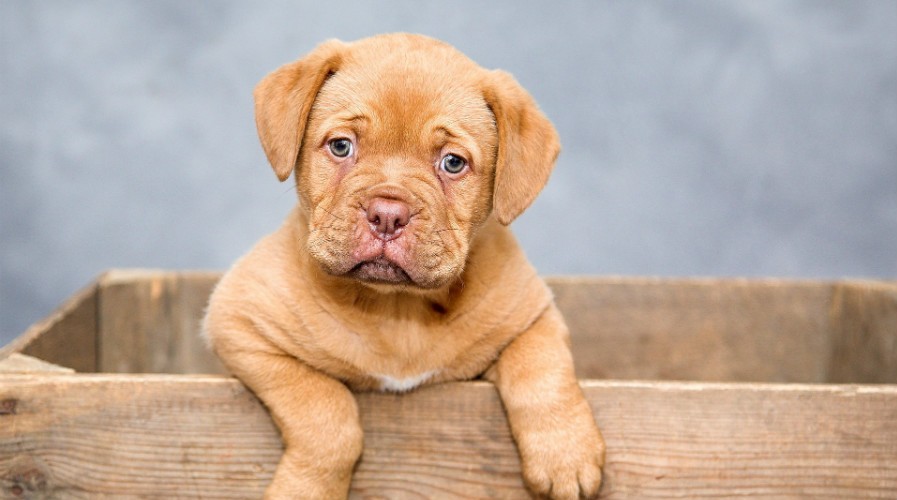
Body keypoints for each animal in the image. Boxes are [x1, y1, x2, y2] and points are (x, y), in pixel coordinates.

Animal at [205, 33, 600, 498]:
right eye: (341, 146)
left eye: (453, 162)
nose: (388, 214)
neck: (397, 308)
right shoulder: (240, 323)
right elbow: (324, 409)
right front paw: (306, 488)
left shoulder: (532, 314)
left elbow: (541, 369)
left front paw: (565, 454)